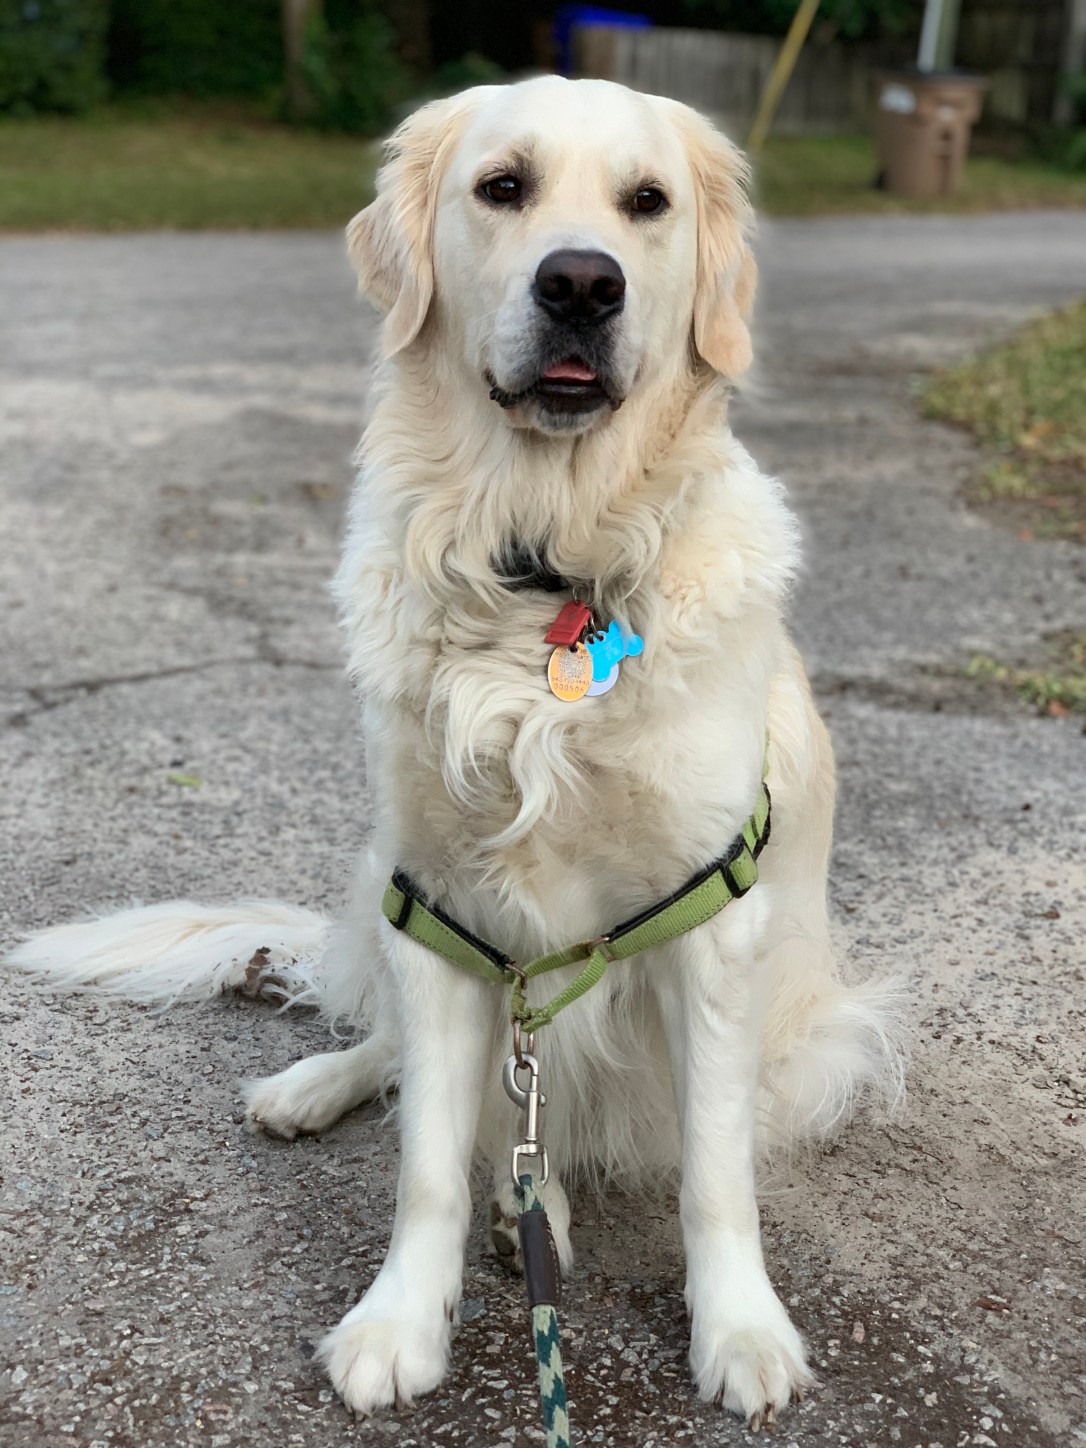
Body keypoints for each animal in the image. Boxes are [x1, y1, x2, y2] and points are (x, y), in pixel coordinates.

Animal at [8, 76, 903, 1426]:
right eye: (503, 187)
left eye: (648, 203)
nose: (581, 283)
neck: (545, 571)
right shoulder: (434, 905)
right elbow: (426, 1152)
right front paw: (396, 1320)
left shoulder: (711, 927)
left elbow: (713, 1170)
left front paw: (741, 1326)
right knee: (415, 1073)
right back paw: (324, 1093)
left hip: (808, 1043)